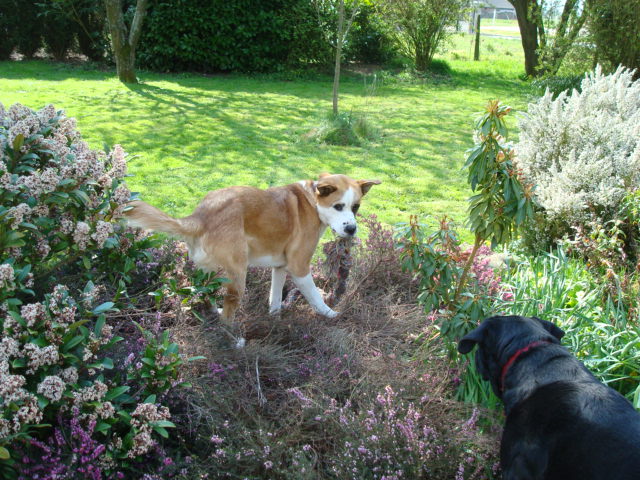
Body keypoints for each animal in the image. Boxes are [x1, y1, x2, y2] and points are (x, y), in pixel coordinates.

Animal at [124, 173, 380, 344]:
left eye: (355, 207)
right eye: (338, 206)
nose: (351, 229)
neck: (312, 202)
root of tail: (200, 216)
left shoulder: (280, 267)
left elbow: (275, 299)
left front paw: (275, 321)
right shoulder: (299, 267)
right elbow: (316, 299)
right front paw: (332, 315)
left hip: (206, 271)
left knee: (204, 296)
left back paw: (213, 314)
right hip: (238, 275)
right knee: (228, 313)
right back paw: (234, 341)